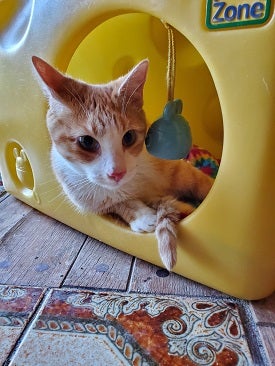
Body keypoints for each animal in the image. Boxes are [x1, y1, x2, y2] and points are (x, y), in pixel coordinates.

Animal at [31, 55, 213, 270]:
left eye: (129, 137)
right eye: (86, 142)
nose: (117, 173)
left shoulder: (176, 169)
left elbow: (200, 184)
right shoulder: (88, 200)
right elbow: (118, 203)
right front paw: (143, 216)